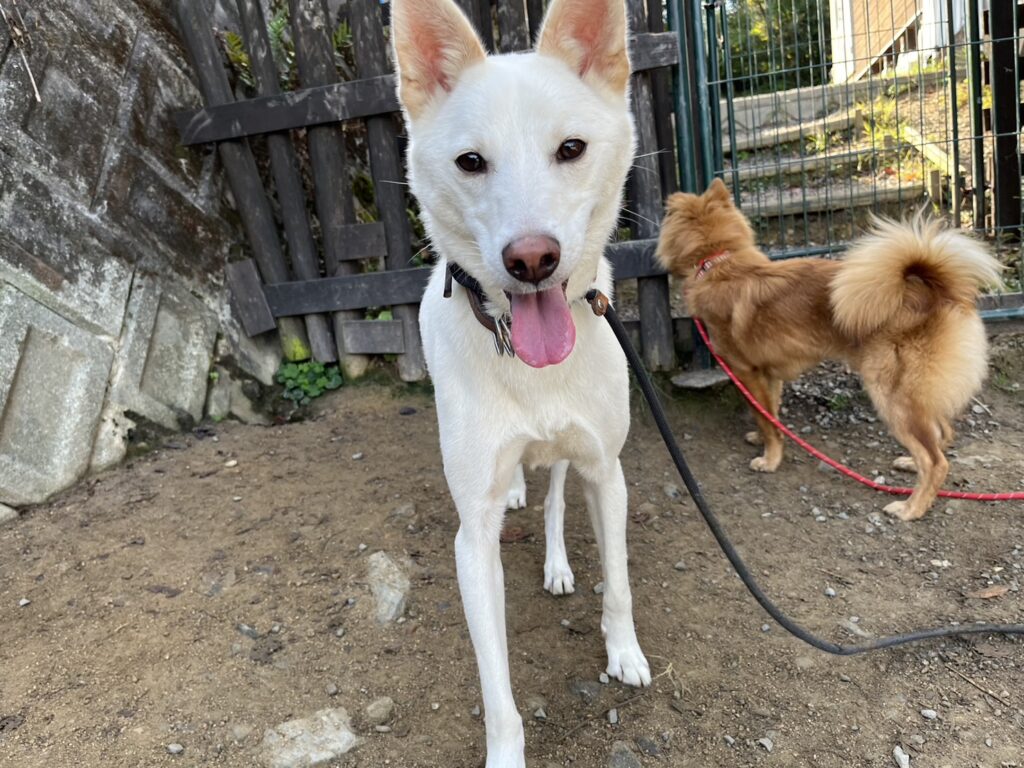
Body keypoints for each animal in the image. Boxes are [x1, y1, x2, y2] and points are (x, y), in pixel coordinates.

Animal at [390, 0, 649, 764]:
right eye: (471, 162)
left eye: (571, 148)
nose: (532, 260)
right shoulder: (471, 539)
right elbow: (495, 683)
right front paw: (506, 751)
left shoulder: (607, 471)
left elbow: (618, 583)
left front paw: (624, 653)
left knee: (556, 494)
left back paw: (559, 561)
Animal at [656, 179, 1003, 522]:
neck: (718, 262)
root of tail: (935, 291)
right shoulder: (769, 373)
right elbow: (770, 414)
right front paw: (766, 439)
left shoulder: (746, 372)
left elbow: (764, 417)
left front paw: (770, 459)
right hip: (915, 393)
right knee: (940, 432)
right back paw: (909, 464)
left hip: (891, 394)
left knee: (935, 461)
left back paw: (911, 508)